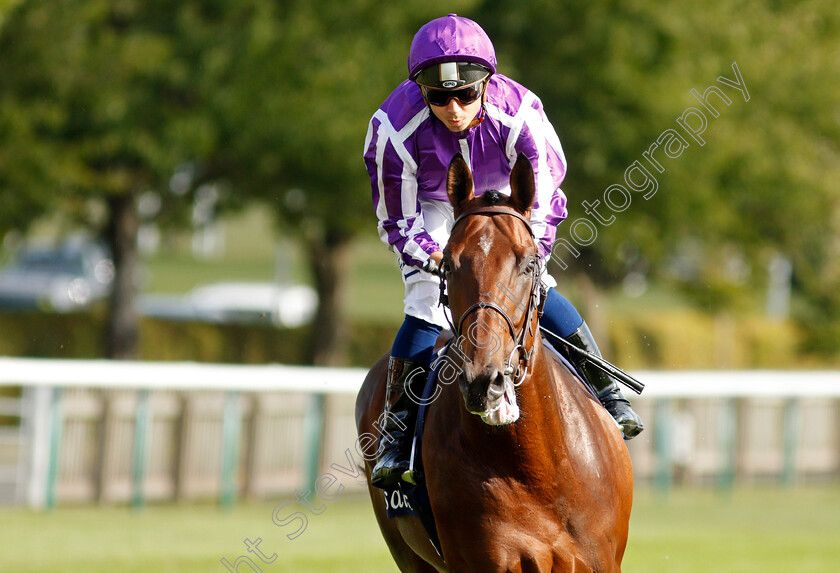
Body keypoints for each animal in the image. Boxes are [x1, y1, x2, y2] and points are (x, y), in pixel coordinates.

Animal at [356, 153, 636, 572]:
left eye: (528, 264)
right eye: (449, 265)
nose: (483, 382)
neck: (537, 468)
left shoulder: (599, 559)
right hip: (408, 554)